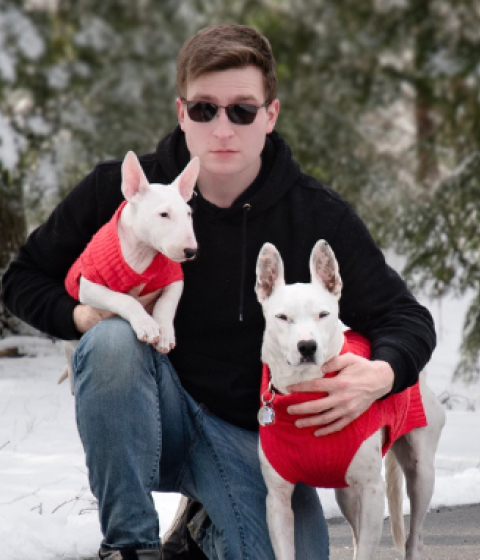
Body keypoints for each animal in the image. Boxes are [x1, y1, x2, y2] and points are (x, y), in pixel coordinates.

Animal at [60, 151, 199, 392]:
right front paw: (146, 325)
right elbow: (125, 299)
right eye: (163, 214)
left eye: (188, 213)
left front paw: (164, 334)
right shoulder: (88, 287)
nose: (191, 251)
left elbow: (166, 304)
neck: (142, 251)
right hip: (69, 342)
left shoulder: (174, 278)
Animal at [255, 241, 446, 560]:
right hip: (345, 491)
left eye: (323, 314)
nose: (307, 347)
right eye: (282, 318)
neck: (307, 388)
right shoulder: (278, 501)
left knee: (414, 537)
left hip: (421, 472)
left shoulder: (372, 491)